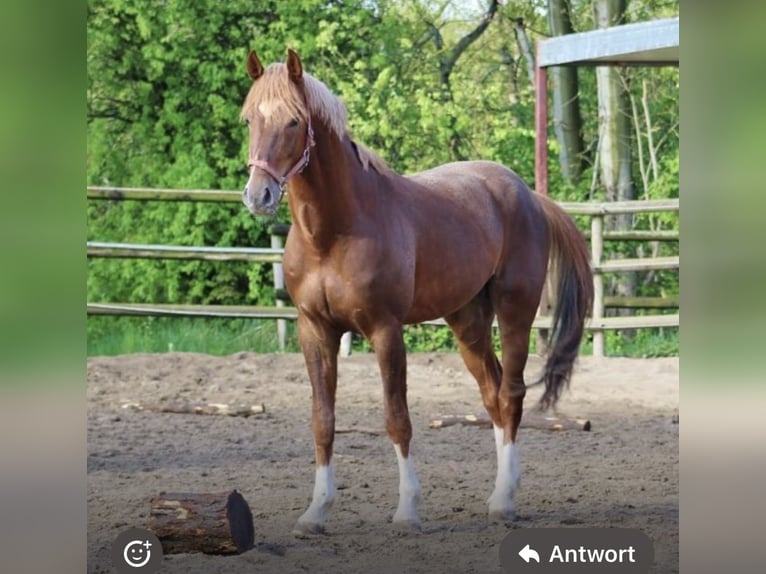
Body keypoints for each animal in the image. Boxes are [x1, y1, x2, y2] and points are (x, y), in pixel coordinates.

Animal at [240, 49, 593, 535]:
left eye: (294, 122)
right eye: (248, 119)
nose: (258, 195)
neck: (333, 233)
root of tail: (528, 195)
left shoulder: (385, 330)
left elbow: (397, 419)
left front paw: (407, 509)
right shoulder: (315, 330)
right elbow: (322, 421)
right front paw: (316, 512)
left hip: (514, 313)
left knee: (511, 394)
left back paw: (505, 499)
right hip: (468, 322)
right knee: (492, 395)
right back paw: (500, 490)